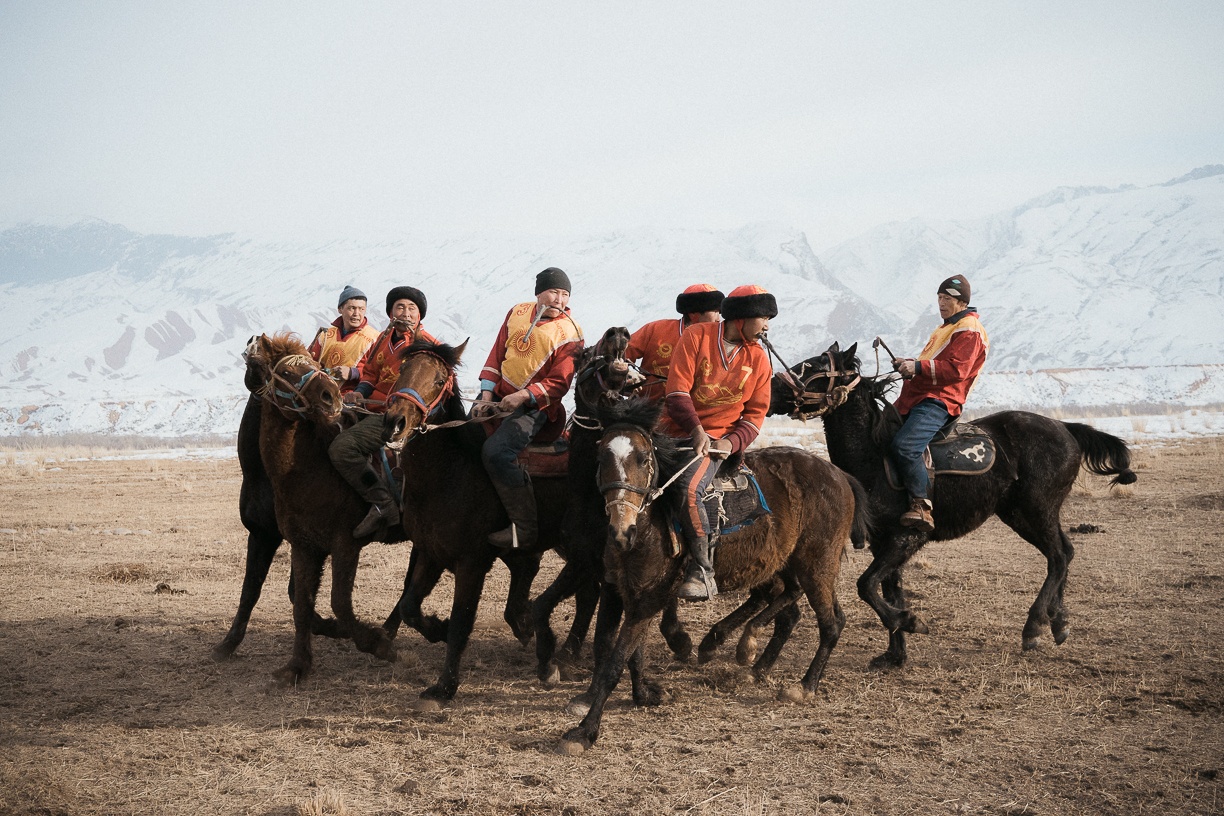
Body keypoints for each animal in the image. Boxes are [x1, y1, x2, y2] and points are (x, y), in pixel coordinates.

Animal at [555, 398, 871, 758]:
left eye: (643, 458)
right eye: (602, 458)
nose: (622, 530)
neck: (651, 523)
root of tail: (839, 475)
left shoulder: (646, 599)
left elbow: (615, 661)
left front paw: (584, 732)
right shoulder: (619, 590)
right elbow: (622, 649)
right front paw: (644, 694)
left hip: (817, 565)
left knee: (831, 622)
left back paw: (803, 685)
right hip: (782, 563)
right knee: (789, 607)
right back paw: (750, 660)